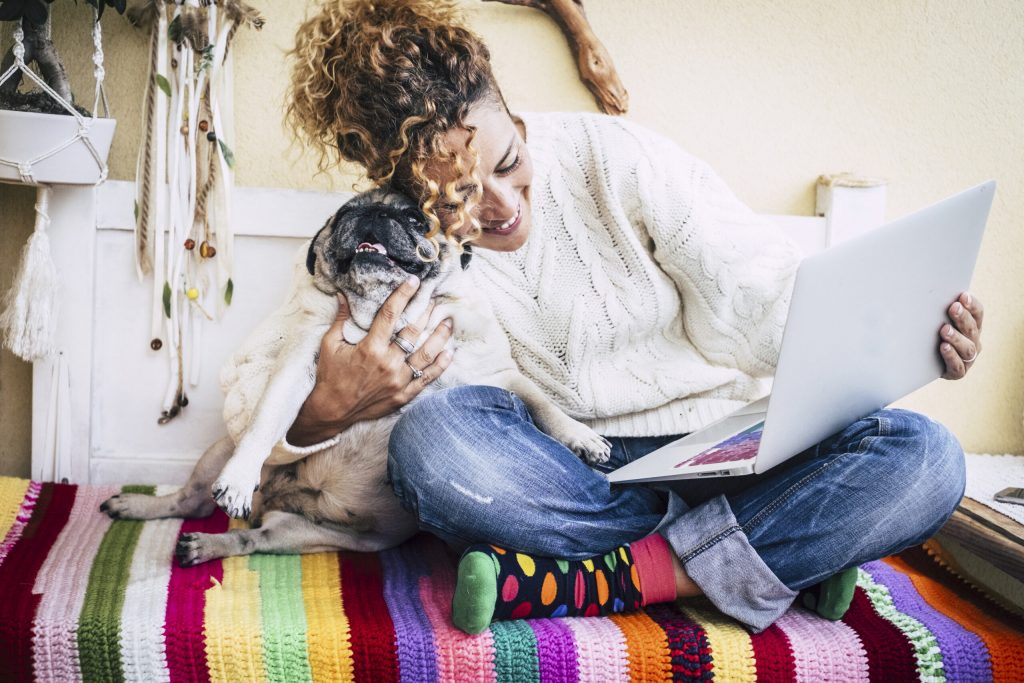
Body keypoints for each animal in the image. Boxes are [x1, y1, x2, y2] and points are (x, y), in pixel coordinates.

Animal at [97, 188, 606, 565]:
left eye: (417, 219)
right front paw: (239, 479)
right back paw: (141, 506)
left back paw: (207, 544)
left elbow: (542, 402)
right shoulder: (299, 366)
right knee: (193, 501)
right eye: (343, 213)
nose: (373, 213)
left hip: (302, 534)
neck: (383, 315)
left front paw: (581, 437)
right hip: (219, 450)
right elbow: (265, 424)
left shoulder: (498, 373)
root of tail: (285, 501)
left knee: (249, 539)